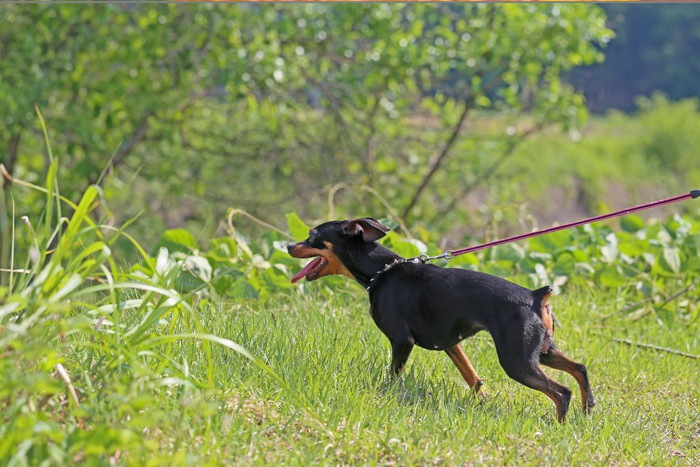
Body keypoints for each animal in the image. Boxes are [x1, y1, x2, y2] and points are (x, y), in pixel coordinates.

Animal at [288, 218, 592, 422]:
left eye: (312, 235)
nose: (289, 245)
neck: (382, 271)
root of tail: (536, 295)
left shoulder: (401, 341)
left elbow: (392, 376)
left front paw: (385, 397)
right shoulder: (451, 344)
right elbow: (473, 378)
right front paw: (481, 402)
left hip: (517, 361)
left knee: (561, 392)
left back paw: (560, 424)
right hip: (541, 351)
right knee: (580, 368)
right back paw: (588, 409)